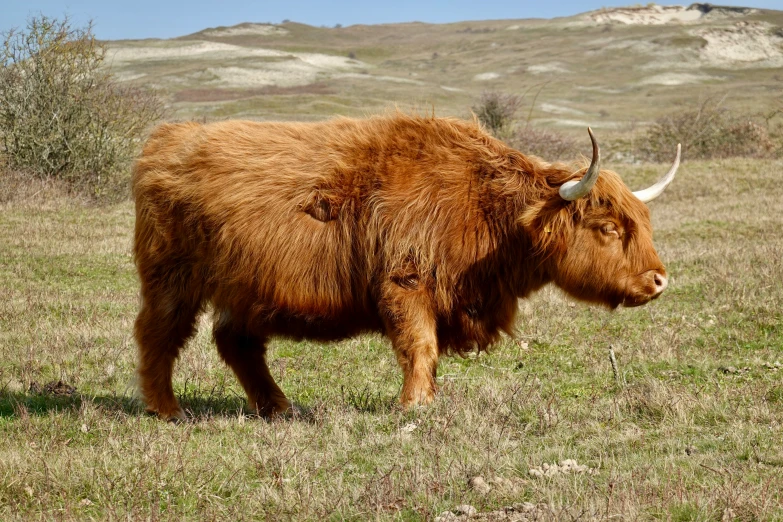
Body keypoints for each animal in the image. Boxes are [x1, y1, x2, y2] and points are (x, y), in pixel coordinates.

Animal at [132, 114, 676, 418]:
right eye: (609, 228)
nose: (658, 280)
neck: (486, 207)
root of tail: (166, 142)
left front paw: (427, 398)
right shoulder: (405, 283)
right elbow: (420, 345)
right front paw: (415, 404)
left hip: (244, 289)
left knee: (237, 343)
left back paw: (279, 407)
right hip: (172, 281)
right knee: (159, 336)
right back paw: (169, 410)